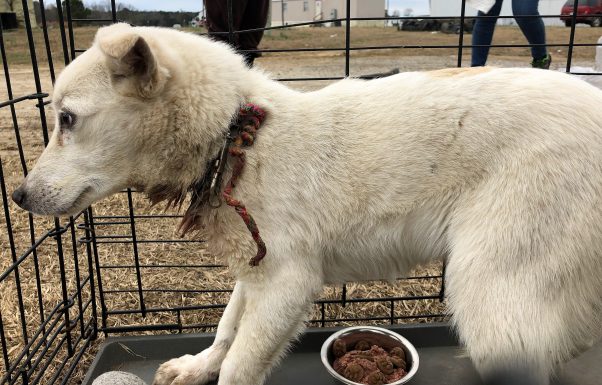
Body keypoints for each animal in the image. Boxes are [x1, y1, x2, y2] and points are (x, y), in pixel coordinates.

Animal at [12, 23, 600, 380]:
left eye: (68, 119)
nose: (16, 195)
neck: (237, 138)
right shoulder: (258, 272)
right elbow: (225, 331)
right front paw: (196, 366)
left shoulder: (287, 285)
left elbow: (239, 365)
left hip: (492, 286)